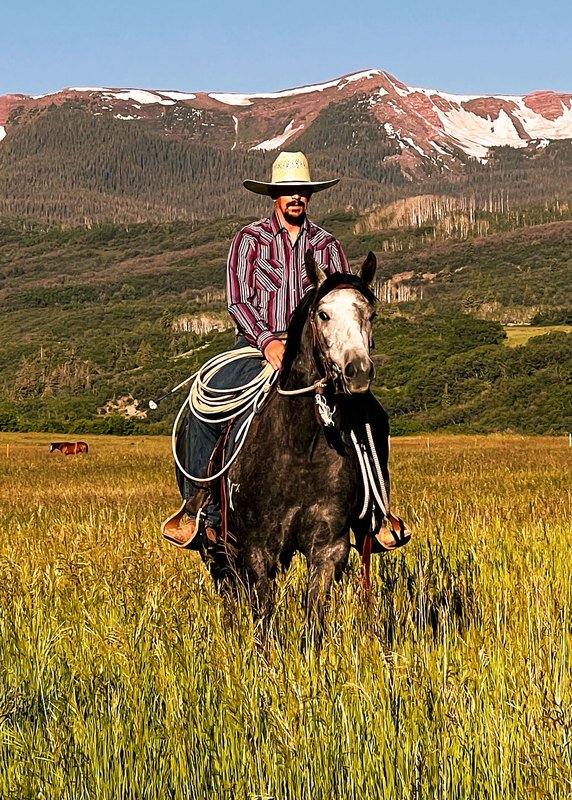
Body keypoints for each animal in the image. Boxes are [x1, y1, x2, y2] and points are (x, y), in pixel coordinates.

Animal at [174, 251, 410, 632]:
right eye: (323, 314)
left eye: (371, 314)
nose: (358, 372)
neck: (301, 449)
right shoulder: (258, 548)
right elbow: (264, 619)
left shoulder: (328, 547)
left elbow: (314, 616)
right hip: (215, 544)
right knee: (226, 587)